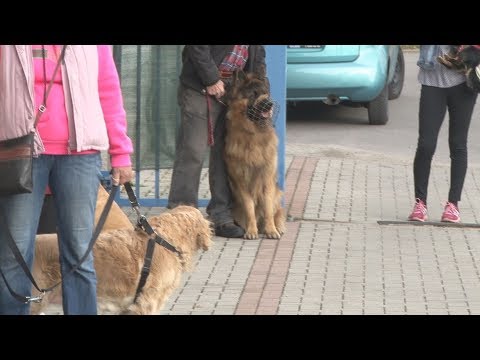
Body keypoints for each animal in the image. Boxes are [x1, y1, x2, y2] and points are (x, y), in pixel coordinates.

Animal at [224, 72, 286, 239]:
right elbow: (249, 207)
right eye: (254, 94)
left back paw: (279, 226)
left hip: (278, 192)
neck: (253, 134)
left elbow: (268, 208)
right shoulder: (242, 181)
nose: (270, 104)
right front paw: (252, 230)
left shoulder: (267, 178)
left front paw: (271, 230)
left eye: (266, 93)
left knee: (278, 211)